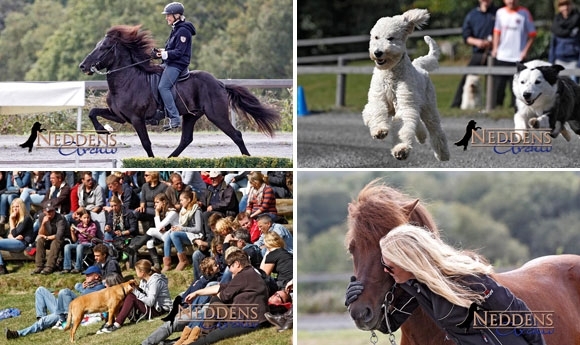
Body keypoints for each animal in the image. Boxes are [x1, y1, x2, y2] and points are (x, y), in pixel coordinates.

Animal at [80, 24, 280, 157]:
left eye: (104, 47)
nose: (83, 66)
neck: (127, 81)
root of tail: (220, 84)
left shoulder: (137, 119)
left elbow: (146, 143)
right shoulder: (120, 116)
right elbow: (92, 112)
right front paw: (102, 131)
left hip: (217, 115)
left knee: (236, 135)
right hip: (191, 115)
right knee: (186, 139)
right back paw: (169, 160)